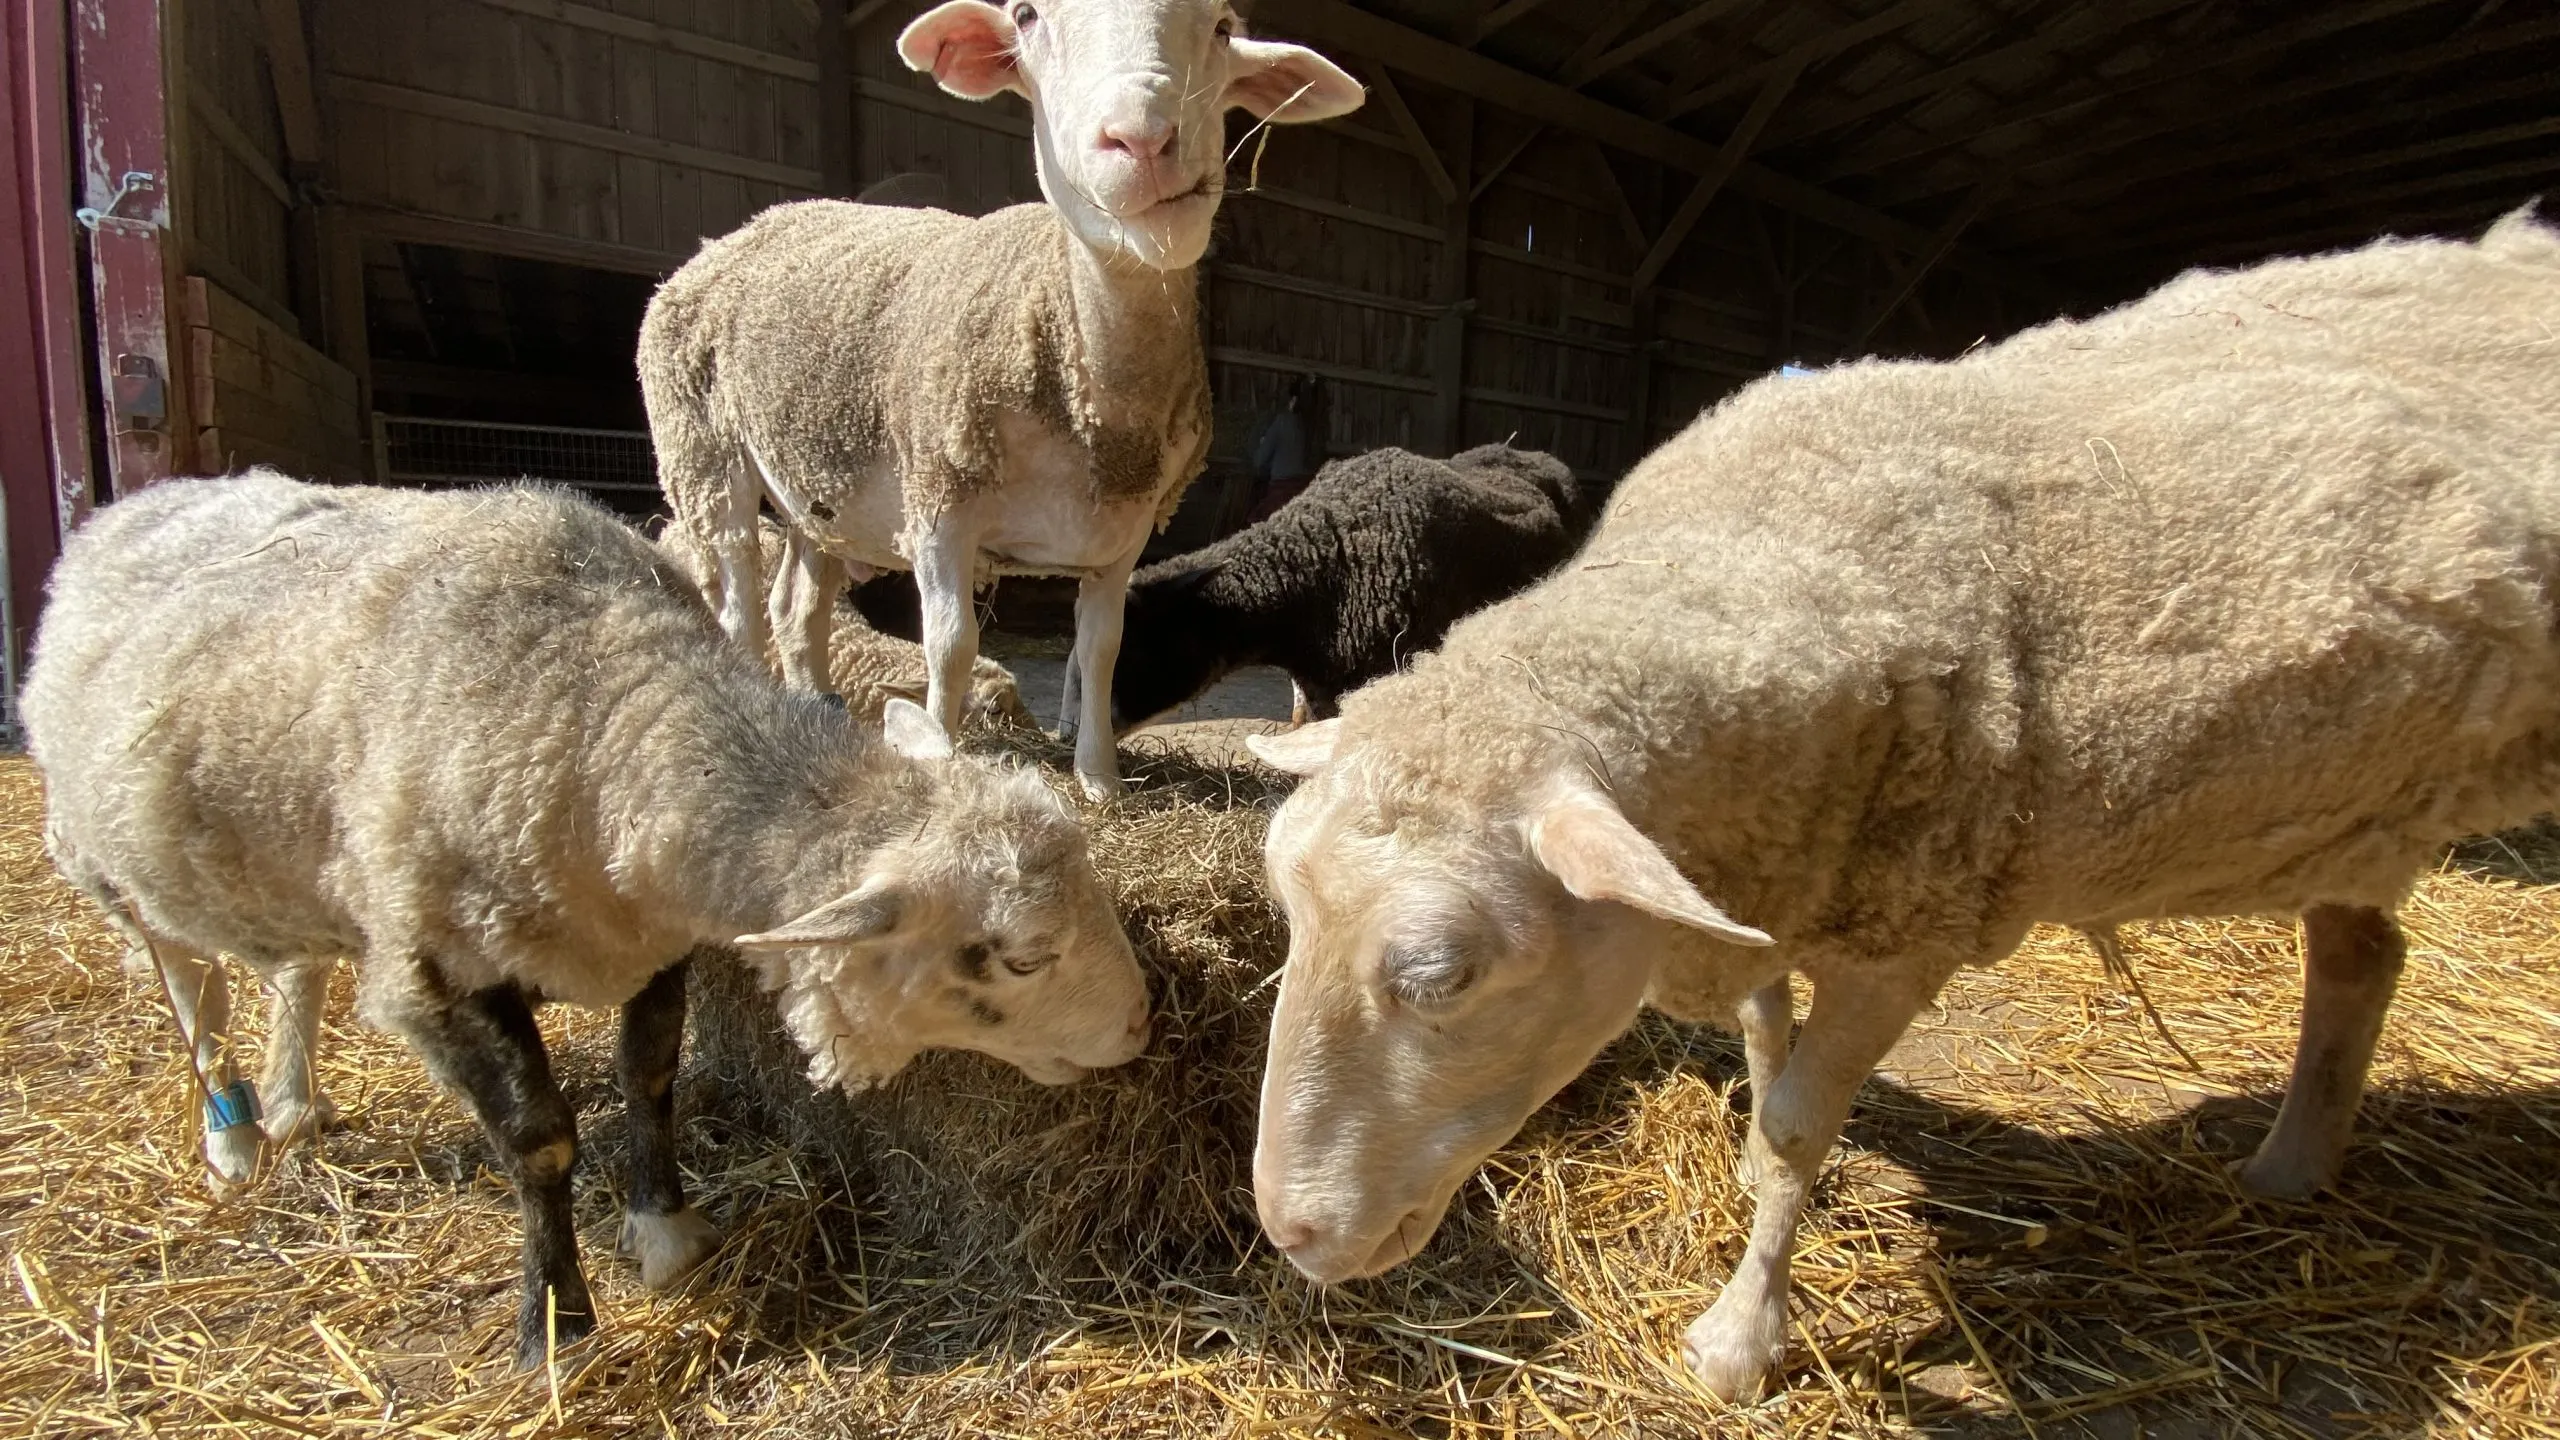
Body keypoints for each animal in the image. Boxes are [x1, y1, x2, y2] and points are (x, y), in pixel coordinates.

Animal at [1240, 211, 2560, 1402]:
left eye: (1443, 977)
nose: (1289, 1234)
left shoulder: (1905, 933)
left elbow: (1797, 1123)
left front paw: (1740, 1339)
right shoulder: (1771, 875)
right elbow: (1762, 1049)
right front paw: (1742, 1173)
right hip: (2360, 799)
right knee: (2363, 955)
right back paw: (2291, 1166)